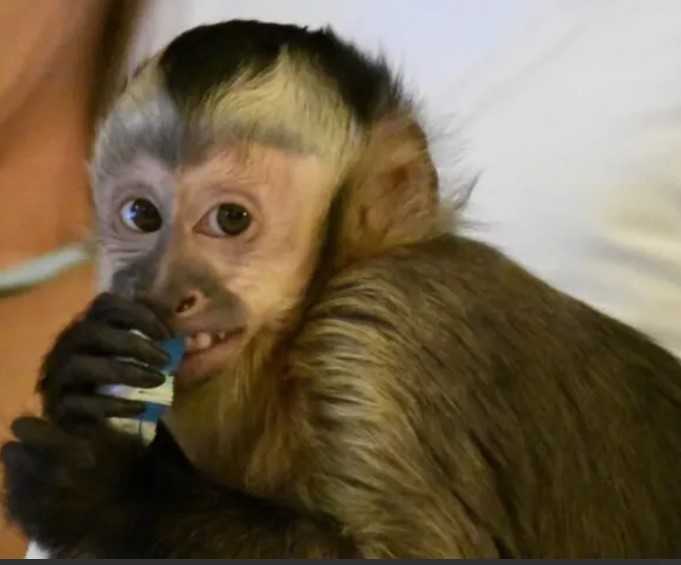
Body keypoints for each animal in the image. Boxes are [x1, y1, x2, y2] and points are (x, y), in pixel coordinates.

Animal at [4, 19, 681, 558]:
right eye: (141, 215)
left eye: (230, 220)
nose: (164, 289)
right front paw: (79, 369)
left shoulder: (378, 326)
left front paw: (112, 493)